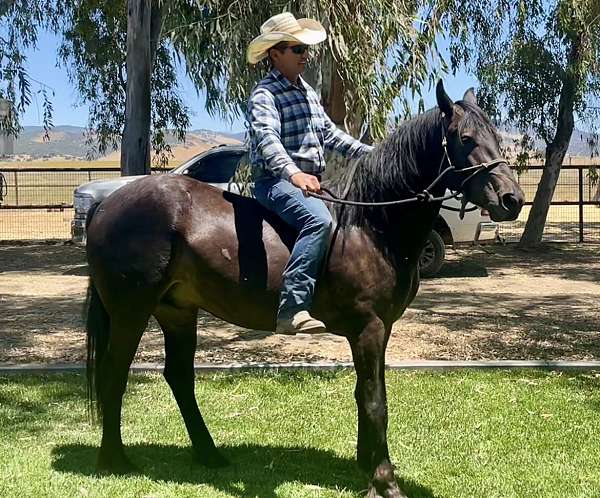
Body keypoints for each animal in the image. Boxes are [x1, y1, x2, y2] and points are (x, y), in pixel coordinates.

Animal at [85, 82, 524, 498]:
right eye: (465, 138)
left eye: (497, 137)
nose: (512, 199)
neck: (369, 225)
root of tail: (107, 203)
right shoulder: (369, 328)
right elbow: (375, 401)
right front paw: (385, 480)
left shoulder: (379, 330)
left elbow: (365, 393)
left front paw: (366, 467)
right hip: (130, 312)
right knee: (113, 372)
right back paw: (114, 459)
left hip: (177, 312)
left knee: (178, 377)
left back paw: (209, 454)